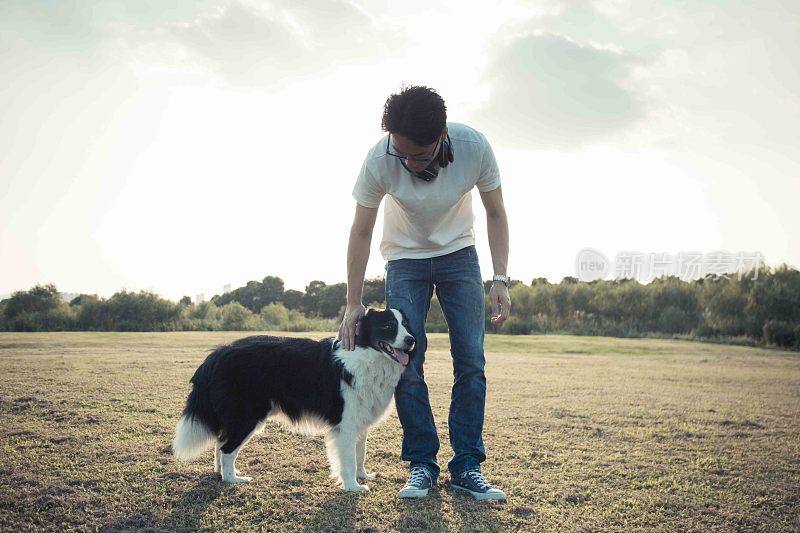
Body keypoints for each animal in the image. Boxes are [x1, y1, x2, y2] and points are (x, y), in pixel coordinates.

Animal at [171, 308, 416, 490]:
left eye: (406, 324)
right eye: (388, 326)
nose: (412, 340)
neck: (366, 355)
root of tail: (219, 353)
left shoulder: (360, 421)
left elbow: (360, 453)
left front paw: (362, 475)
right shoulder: (345, 425)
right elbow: (347, 458)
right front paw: (353, 486)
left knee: (220, 442)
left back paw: (223, 473)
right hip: (246, 416)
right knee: (226, 448)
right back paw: (232, 479)